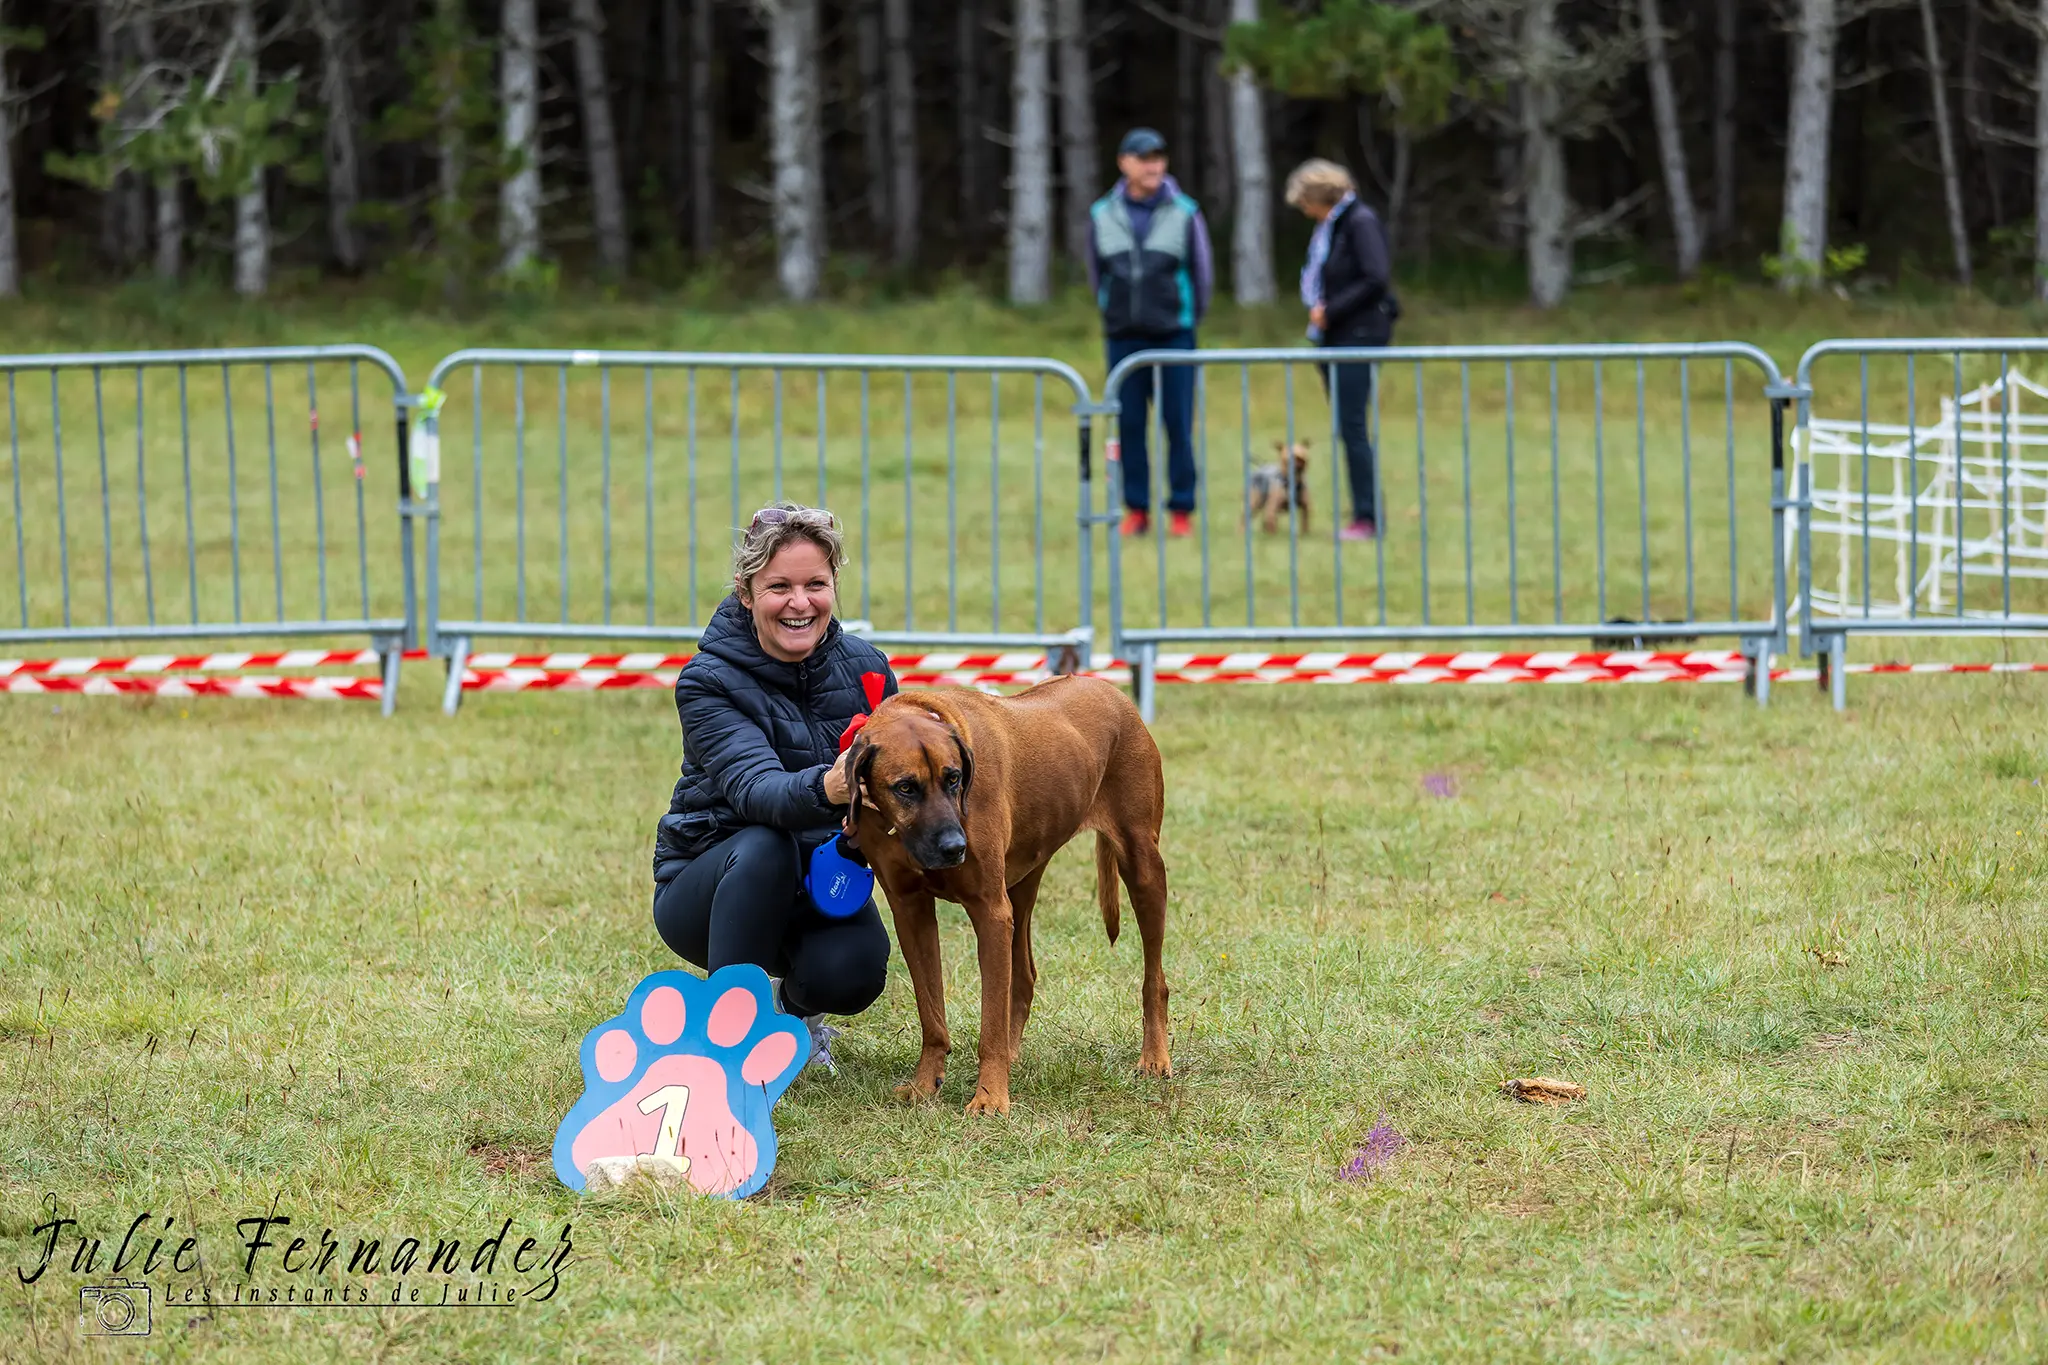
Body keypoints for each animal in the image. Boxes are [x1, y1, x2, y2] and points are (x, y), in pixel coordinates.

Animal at [843, 679, 1171, 1113]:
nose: (955, 848)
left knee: (1155, 980)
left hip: (1142, 865)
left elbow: (991, 1025)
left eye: (953, 779)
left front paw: (990, 1097)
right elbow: (931, 1013)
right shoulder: (910, 912)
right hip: (1023, 881)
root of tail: (1109, 688)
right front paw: (925, 1084)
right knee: (1025, 976)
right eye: (905, 788)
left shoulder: (990, 912)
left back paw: (1155, 1057)